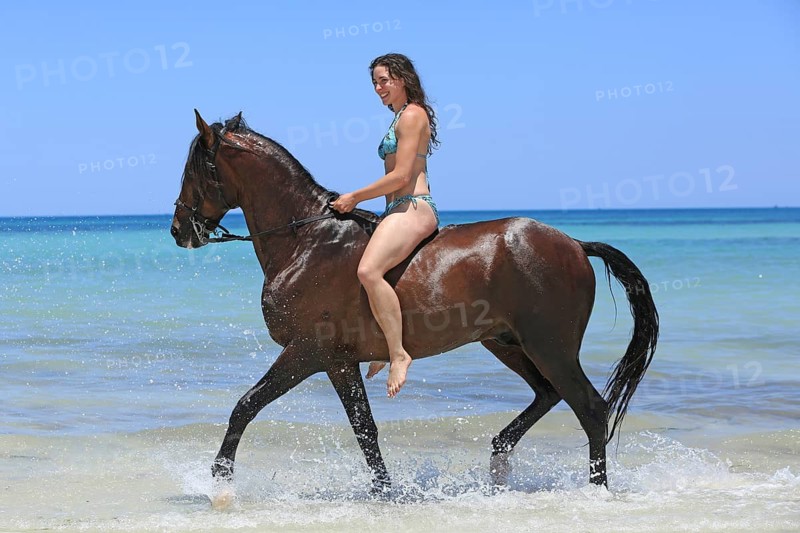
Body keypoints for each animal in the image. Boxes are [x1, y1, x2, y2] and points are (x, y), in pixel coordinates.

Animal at [170, 110, 659, 506]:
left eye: (195, 168)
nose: (178, 229)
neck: (306, 241)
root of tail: (574, 244)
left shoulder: (306, 352)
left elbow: (245, 406)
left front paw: (220, 483)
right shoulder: (338, 362)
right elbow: (364, 430)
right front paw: (385, 492)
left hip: (549, 346)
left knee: (590, 408)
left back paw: (596, 492)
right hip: (506, 343)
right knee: (547, 394)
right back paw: (499, 458)